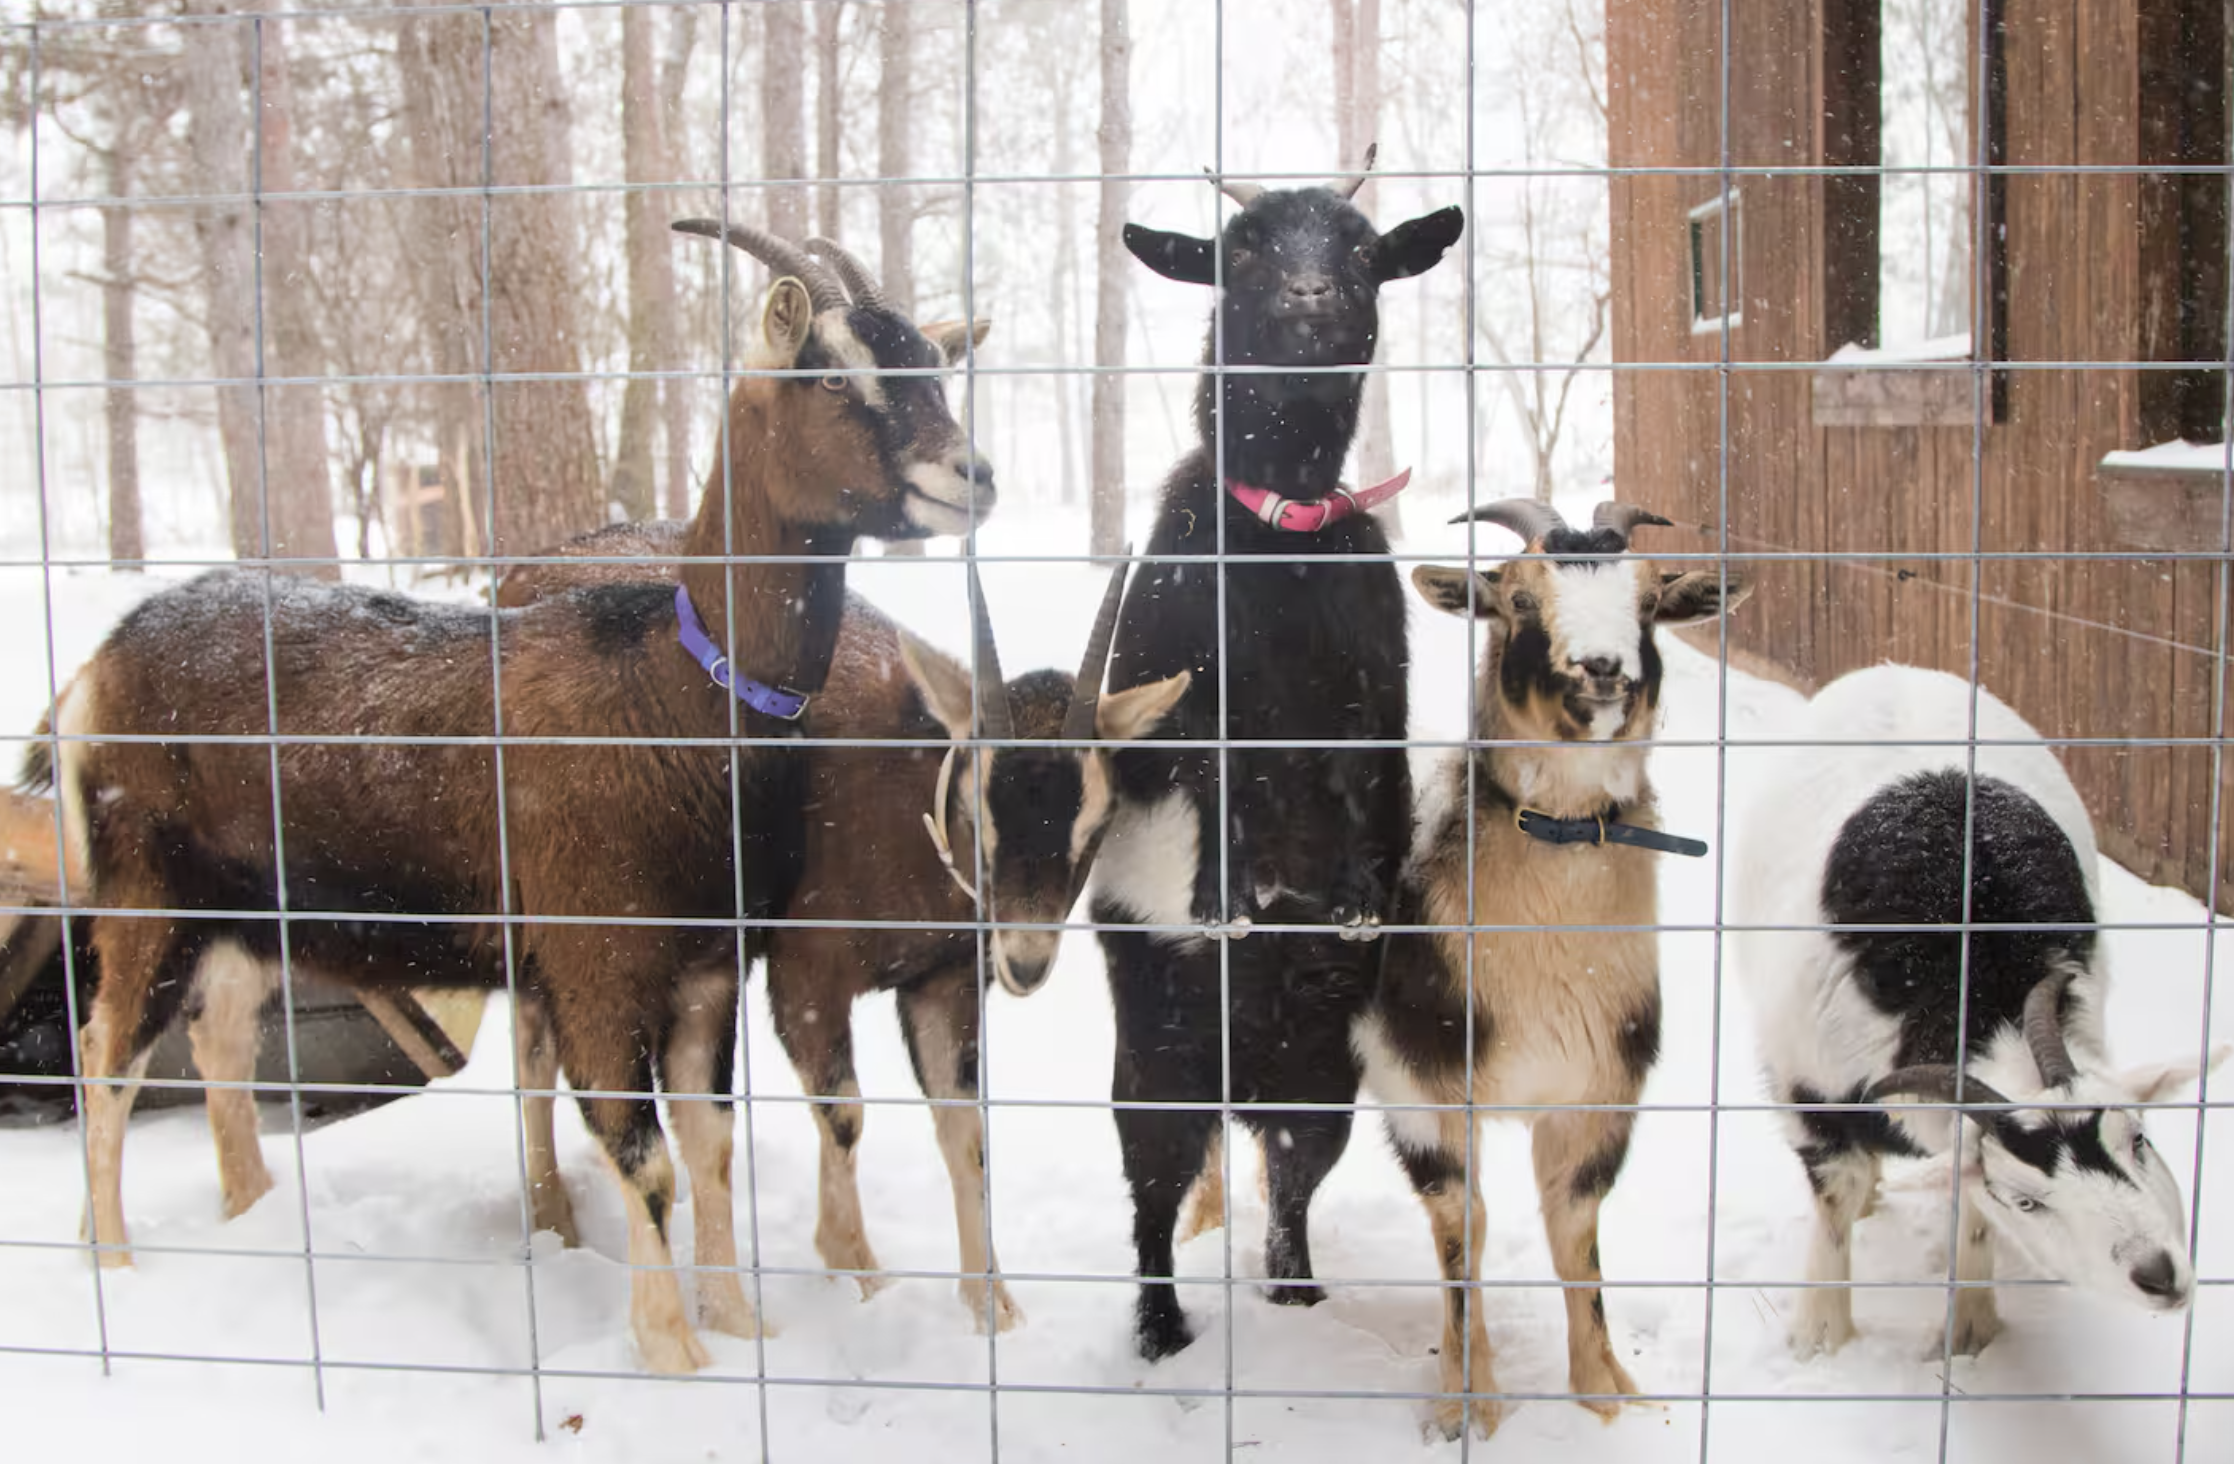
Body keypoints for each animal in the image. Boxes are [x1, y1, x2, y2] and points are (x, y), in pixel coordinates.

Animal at [31, 222, 995, 1375]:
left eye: (933, 365)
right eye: (831, 372)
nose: (972, 474)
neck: (674, 696)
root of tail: (95, 670)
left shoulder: (706, 969)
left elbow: (708, 1141)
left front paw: (736, 1321)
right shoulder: (597, 964)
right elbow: (643, 1155)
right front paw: (674, 1354)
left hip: (244, 909)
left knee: (219, 1040)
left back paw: (246, 1209)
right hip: (146, 890)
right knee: (108, 1057)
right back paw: (114, 1263)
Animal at [495, 521, 1188, 1331]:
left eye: (1097, 822)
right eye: (978, 809)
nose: (1024, 962)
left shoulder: (943, 983)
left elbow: (967, 1135)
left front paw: (991, 1305)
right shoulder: (807, 974)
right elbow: (846, 1112)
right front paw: (856, 1269)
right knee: (535, 1054)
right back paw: (552, 1215)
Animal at [1088, 148, 1465, 1360]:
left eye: (1361, 250)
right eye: (1242, 250)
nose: (1310, 300)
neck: (1279, 545)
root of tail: (1237, 1074)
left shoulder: (1371, 689)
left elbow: (1362, 780)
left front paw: (1354, 900)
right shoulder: (1179, 687)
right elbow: (1216, 776)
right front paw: (1223, 895)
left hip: (1318, 1072)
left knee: (1290, 1176)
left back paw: (1293, 1289)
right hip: (1154, 1064)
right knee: (1153, 1195)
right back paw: (1160, 1329)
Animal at [1352, 498, 1750, 1440]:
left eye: (1650, 602)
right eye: (1518, 600)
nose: (1602, 668)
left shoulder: (1596, 1092)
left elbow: (1576, 1237)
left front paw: (1608, 1397)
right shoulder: (1423, 1091)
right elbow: (1464, 1230)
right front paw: (1466, 1407)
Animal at [1731, 664, 2227, 1360]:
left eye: (2138, 1139)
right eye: (2024, 1200)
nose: (2160, 1275)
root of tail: (1895, 669)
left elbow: (1967, 1215)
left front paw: (1969, 1331)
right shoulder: (1806, 1083)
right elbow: (1836, 1197)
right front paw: (1821, 1339)